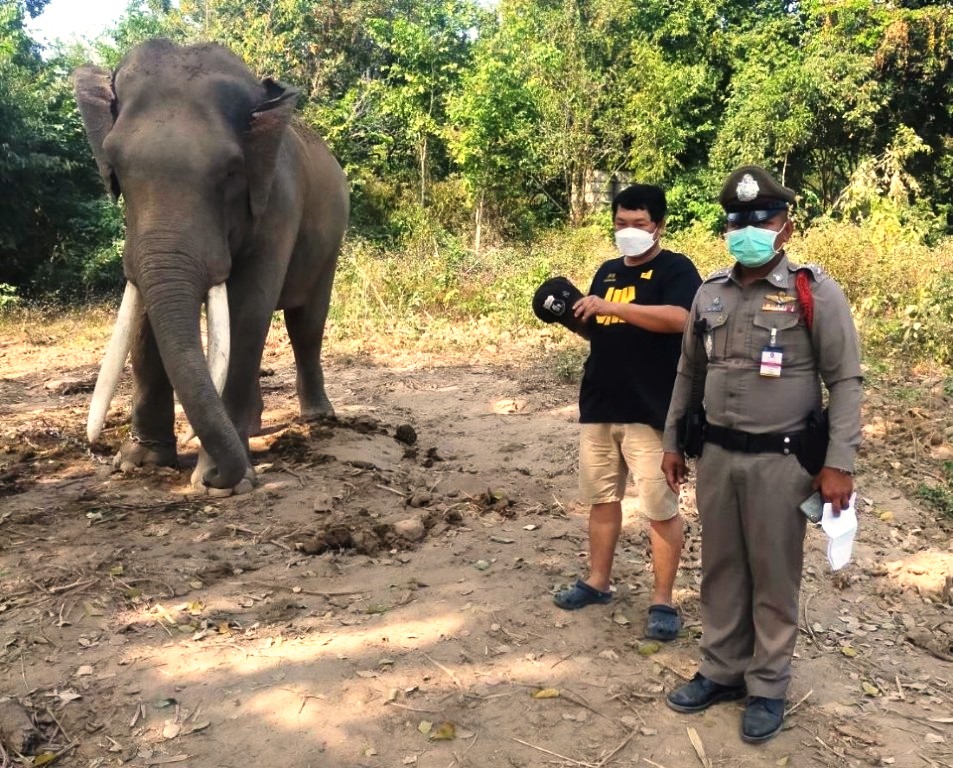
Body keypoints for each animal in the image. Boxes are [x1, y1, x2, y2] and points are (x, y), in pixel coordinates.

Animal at [73, 39, 350, 496]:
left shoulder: (278, 202)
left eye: (231, 170)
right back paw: (252, 430)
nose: (219, 473)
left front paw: (221, 483)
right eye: (116, 167)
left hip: (330, 244)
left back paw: (316, 418)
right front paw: (138, 463)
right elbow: (144, 311)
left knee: (305, 324)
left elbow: (247, 308)